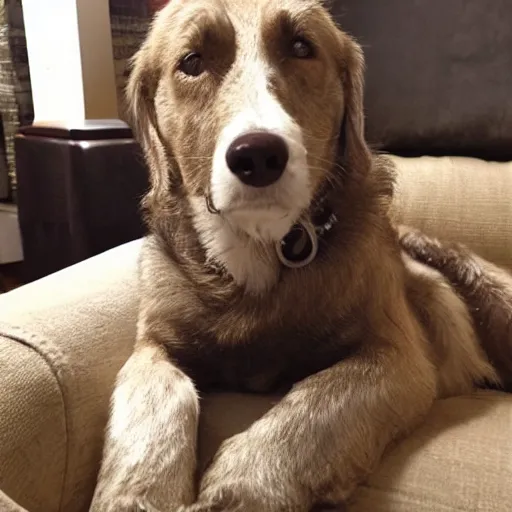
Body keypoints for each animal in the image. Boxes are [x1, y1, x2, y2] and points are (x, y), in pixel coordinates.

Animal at [90, 1, 510, 512]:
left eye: (301, 47)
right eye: (191, 61)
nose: (257, 156)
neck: (258, 250)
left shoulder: (396, 357)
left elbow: (312, 407)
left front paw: (239, 488)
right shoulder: (152, 345)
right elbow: (155, 407)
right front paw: (137, 494)